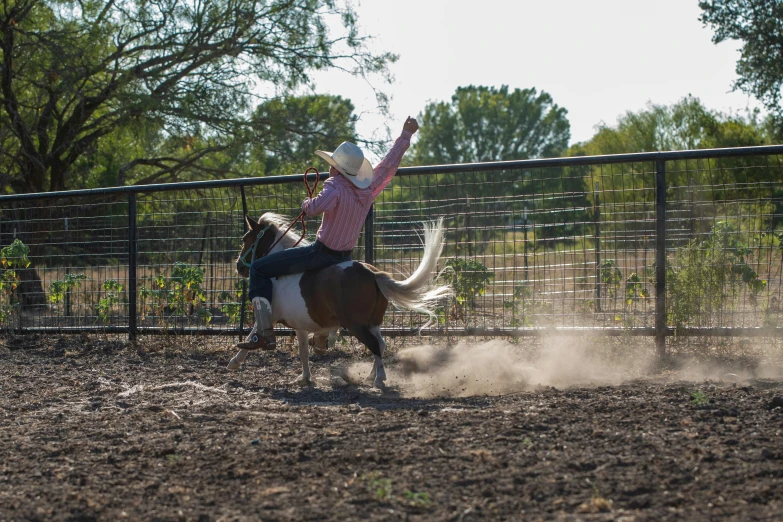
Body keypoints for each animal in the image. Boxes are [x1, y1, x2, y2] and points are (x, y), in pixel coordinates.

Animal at [227, 211, 454, 386]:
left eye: (245, 239)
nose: (238, 267)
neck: (277, 276)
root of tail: (372, 273)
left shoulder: (272, 313)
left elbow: (255, 332)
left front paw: (235, 361)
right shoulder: (299, 325)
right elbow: (303, 351)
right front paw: (305, 378)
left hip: (356, 325)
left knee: (374, 344)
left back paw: (379, 379)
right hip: (372, 323)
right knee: (380, 344)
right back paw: (370, 375)